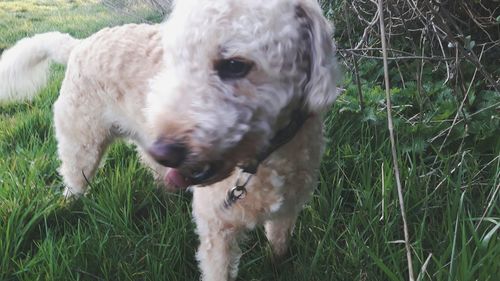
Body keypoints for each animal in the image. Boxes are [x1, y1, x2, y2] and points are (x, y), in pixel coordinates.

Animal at [0, 1, 338, 278]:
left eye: (234, 65)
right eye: (176, 60)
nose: (165, 150)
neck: (265, 161)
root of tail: (78, 45)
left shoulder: (288, 210)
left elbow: (278, 248)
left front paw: (278, 265)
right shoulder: (217, 231)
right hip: (82, 143)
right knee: (74, 180)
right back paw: (70, 206)